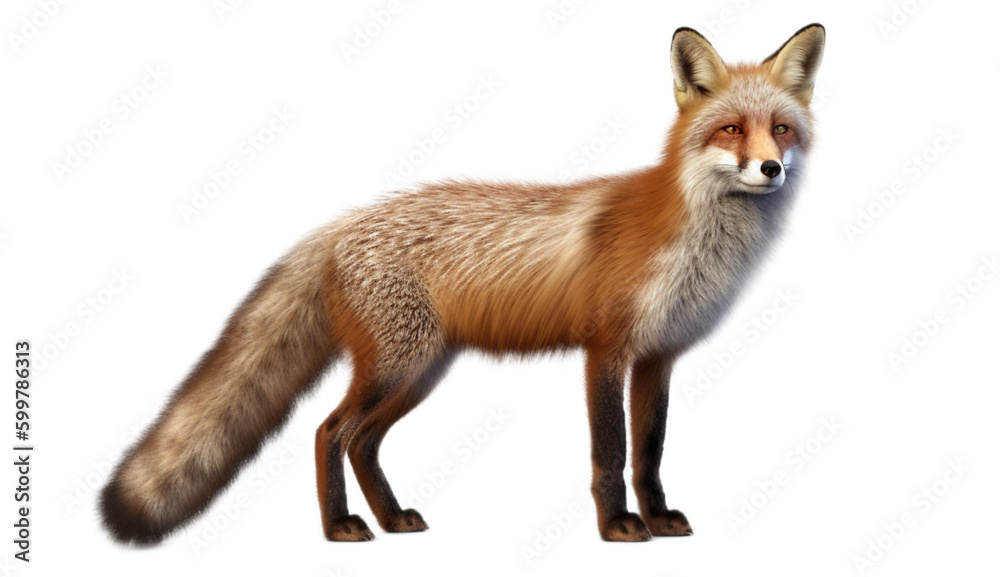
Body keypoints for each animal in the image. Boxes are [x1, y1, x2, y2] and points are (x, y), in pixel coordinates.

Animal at [100, 23, 825, 544]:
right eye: (730, 128)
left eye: (781, 129)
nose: (770, 168)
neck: (696, 245)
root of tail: (341, 224)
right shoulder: (606, 351)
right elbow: (610, 452)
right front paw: (619, 527)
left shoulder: (657, 357)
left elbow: (649, 451)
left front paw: (659, 517)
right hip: (399, 365)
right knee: (329, 432)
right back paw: (340, 527)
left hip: (421, 370)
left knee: (361, 441)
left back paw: (391, 520)